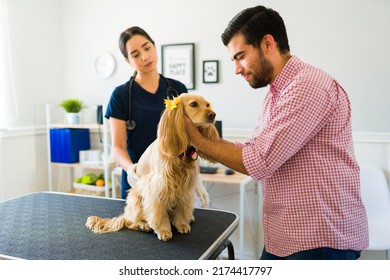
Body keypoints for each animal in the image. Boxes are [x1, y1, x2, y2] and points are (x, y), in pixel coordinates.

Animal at [85, 93, 219, 241]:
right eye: (193, 104)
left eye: (207, 105)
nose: (213, 114)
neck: (180, 155)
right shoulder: (157, 187)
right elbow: (158, 213)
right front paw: (163, 230)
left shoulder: (185, 188)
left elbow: (182, 208)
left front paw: (182, 224)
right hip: (136, 198)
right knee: (131, 222)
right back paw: (143, 225)